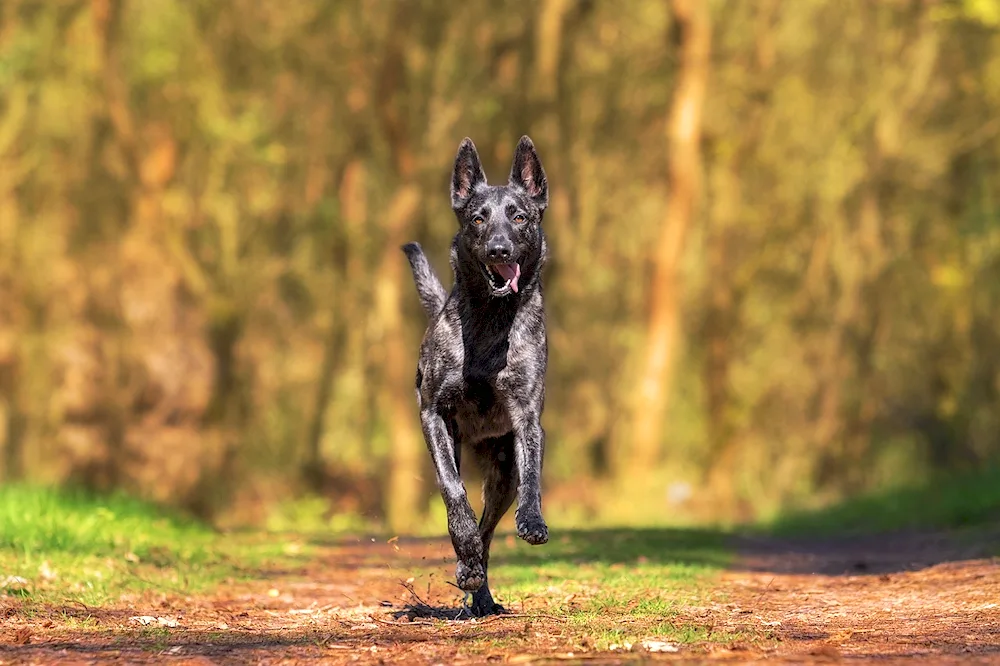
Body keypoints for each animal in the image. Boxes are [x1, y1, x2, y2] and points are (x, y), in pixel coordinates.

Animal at [400, 136, 556, 616]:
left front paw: (533, 520)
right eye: (478, 218)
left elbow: (532, 477)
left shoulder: (527, 418)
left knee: (490, 530)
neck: (491, 320)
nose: (499, 250)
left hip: (501, 474)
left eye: (519, 216)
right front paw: (463, 552)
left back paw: (482, 595)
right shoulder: (434, 415)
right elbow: (454, 494)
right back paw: (470, 573)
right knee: (473, 522)